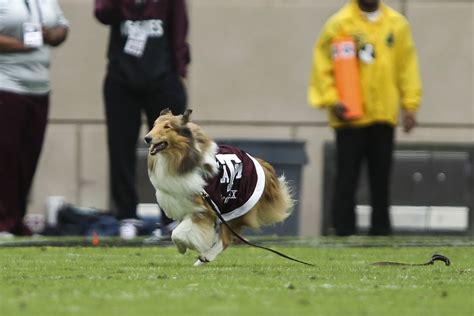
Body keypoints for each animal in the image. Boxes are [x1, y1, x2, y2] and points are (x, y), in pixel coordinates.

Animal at [144, 110, 292, 266]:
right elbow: (180, 231)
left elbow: (177, 234)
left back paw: (205, 257)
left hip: (232, 207)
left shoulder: (204, 209)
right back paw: (201, 260)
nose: (147, 138)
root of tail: (259, 163)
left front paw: (182, 247)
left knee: (226, 239)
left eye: (167, 126)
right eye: (154, 124)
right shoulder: (185, 206)